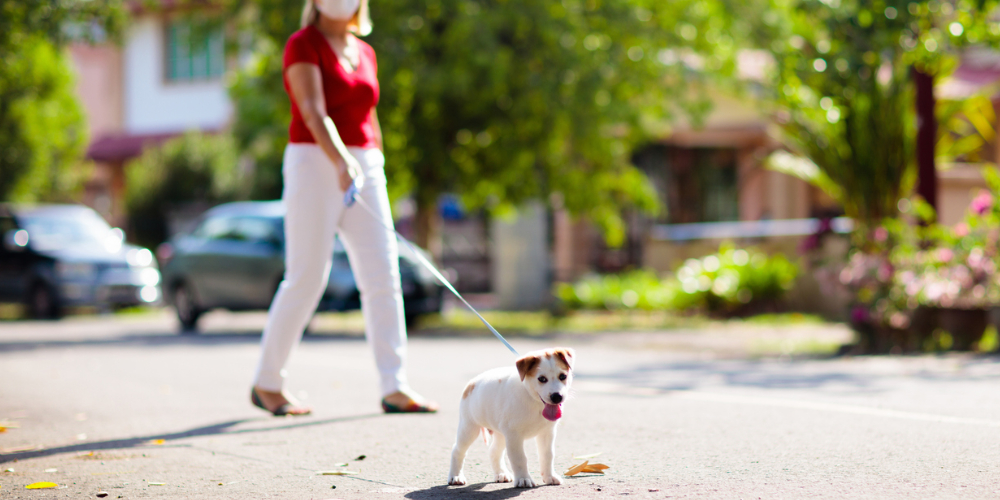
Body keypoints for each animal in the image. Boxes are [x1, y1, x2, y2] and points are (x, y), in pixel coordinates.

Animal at [450, 348, 576, 488]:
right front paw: (523, 479)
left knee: (494, 451)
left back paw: (501, 474)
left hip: (500, 434)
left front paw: (549, 477)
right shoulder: (514, 435)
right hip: (469, 429)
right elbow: (519, 458)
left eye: (563, 376)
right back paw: (456, 476)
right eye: (542, 379)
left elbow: (547, 455)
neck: (533, 401)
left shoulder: (547, 433)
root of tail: (472, 383)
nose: (557, 397)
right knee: (457, 450)